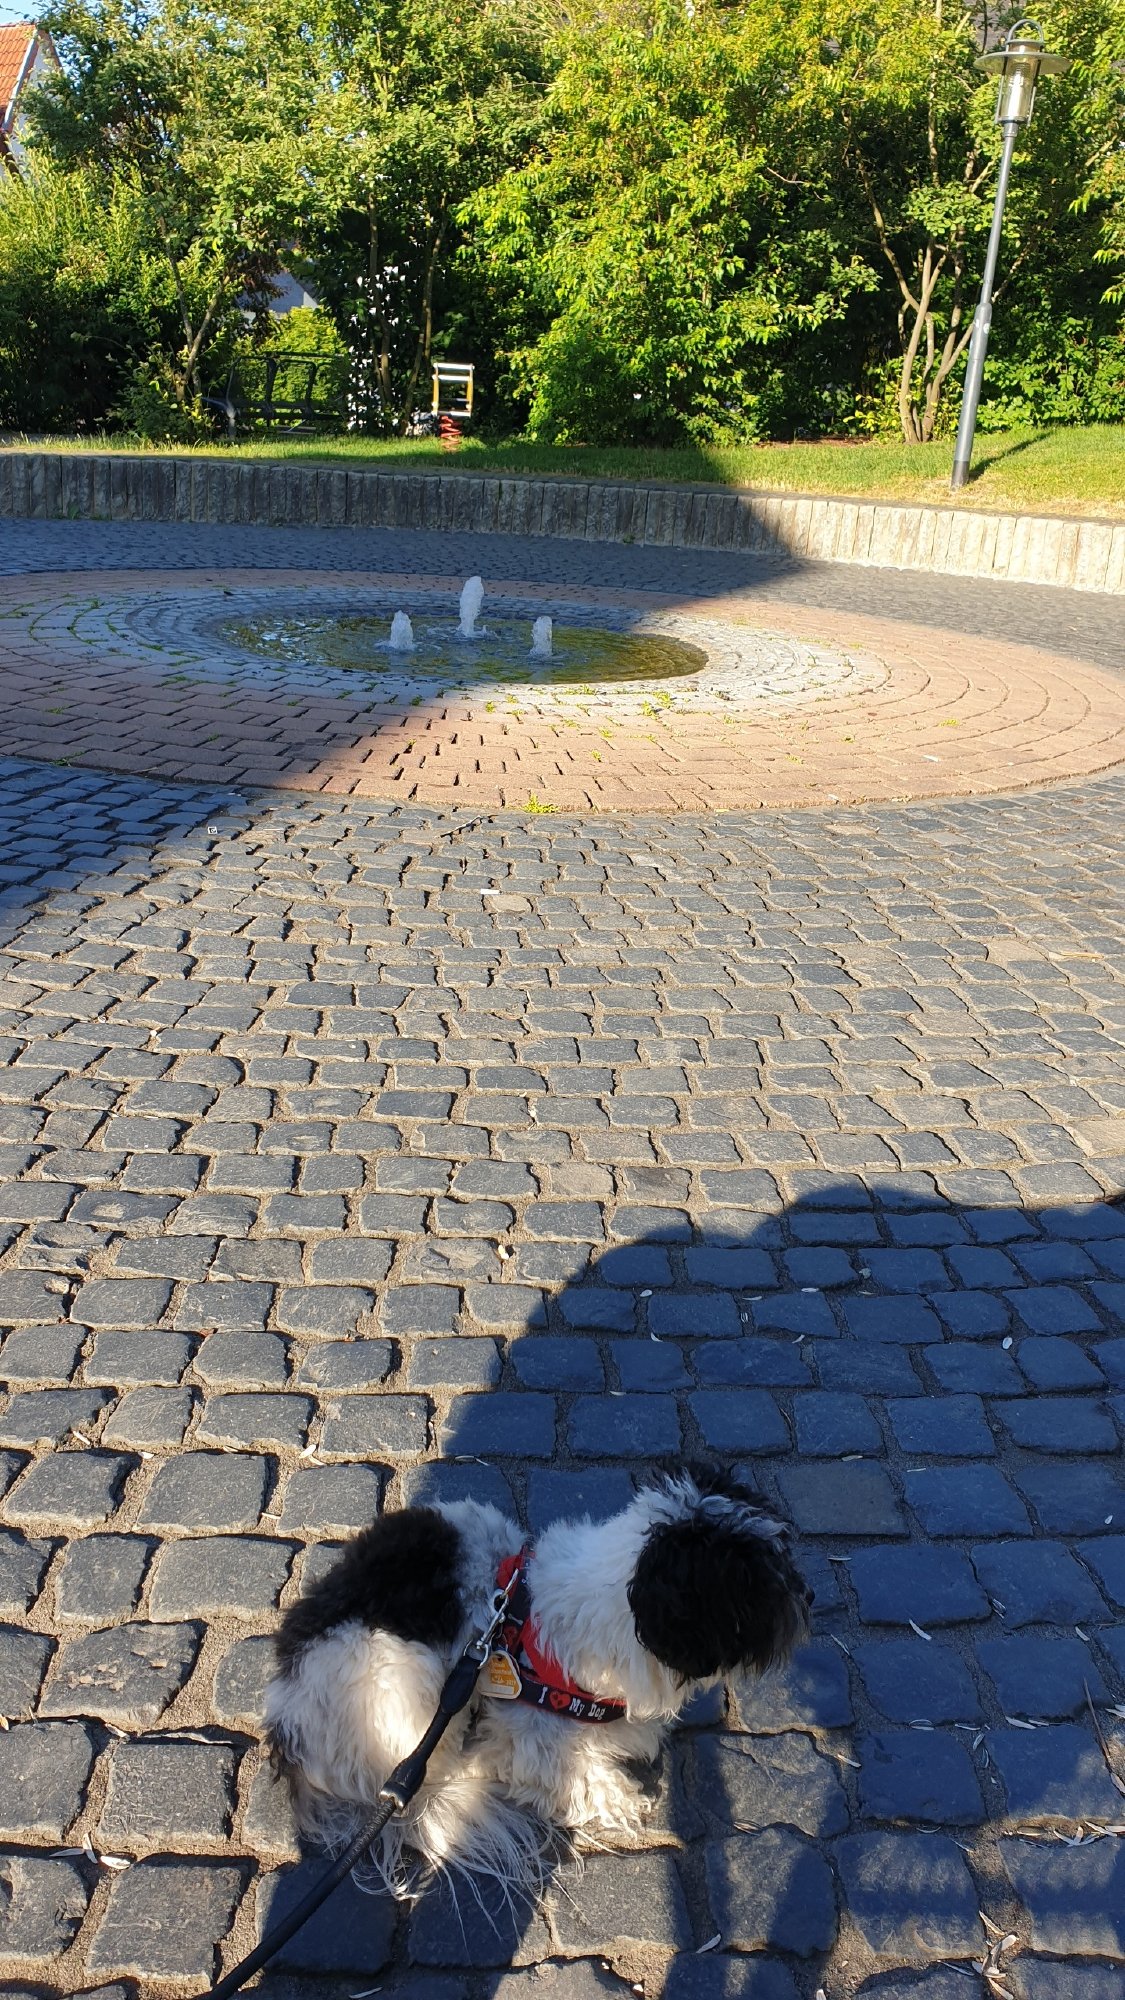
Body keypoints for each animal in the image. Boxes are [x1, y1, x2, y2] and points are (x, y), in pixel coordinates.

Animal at [264, 1463, 810, 1902]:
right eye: (754, 1586)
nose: (805, 1598)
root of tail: (288, 1732)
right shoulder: (529, 1733)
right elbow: (574, 1775)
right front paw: (622, 1798)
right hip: (403, 1675)